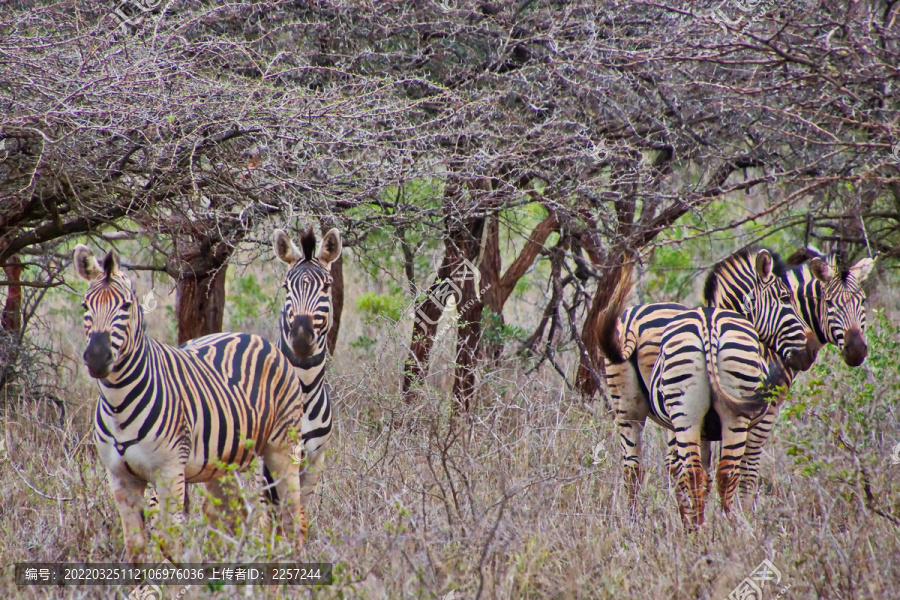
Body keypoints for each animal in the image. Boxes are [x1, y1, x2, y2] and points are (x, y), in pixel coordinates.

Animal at [72, 245, 310, 564]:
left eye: (126, 306)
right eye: (85, 306)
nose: (97, 357)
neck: (119, 405)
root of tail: (254, 337)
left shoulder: (170, 472)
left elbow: (168, 544)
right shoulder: (120, 479)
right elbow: (136, 550)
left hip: (283, 447)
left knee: (293, 514)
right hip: (224, 464)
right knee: (232, 518)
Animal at [596, 248, 816, 510]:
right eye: (784, 298)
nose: (811, 351)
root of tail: (632, 323)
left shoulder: (702, 430)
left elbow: (703, 475)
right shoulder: (761, 419)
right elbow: (744, 473)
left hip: (630, 408)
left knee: (635, 470)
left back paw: (637, 518)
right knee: (720, 472)